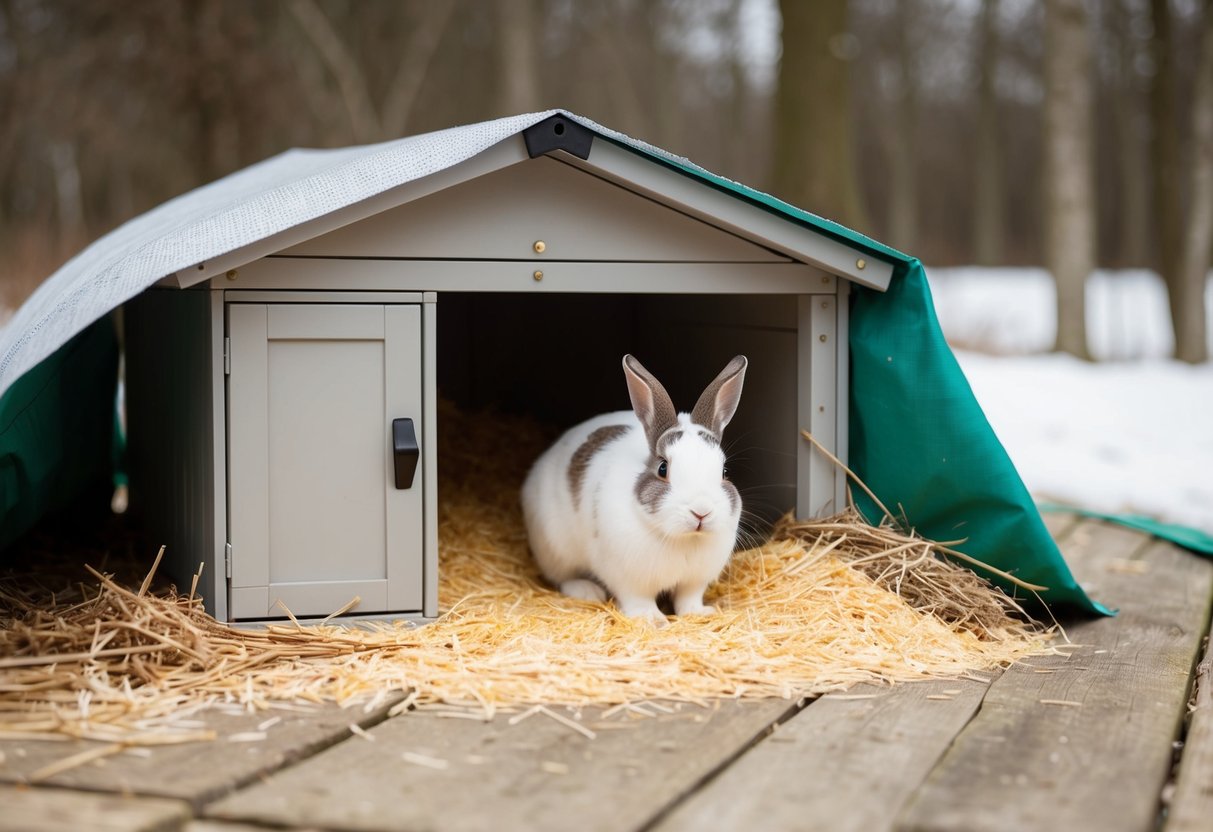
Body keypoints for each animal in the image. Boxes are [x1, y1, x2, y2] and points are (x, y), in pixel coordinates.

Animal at [521, 351, 747, 625]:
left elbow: (688, 598)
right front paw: (652, 620)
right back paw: (588, 591)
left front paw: (700, 614)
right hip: (554, 549)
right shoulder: (628, 579)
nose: (701, 512)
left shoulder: (694, 581)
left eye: (724, 472)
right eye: (663, 469)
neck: (682, 538)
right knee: (563, 577)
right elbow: (639, 601)